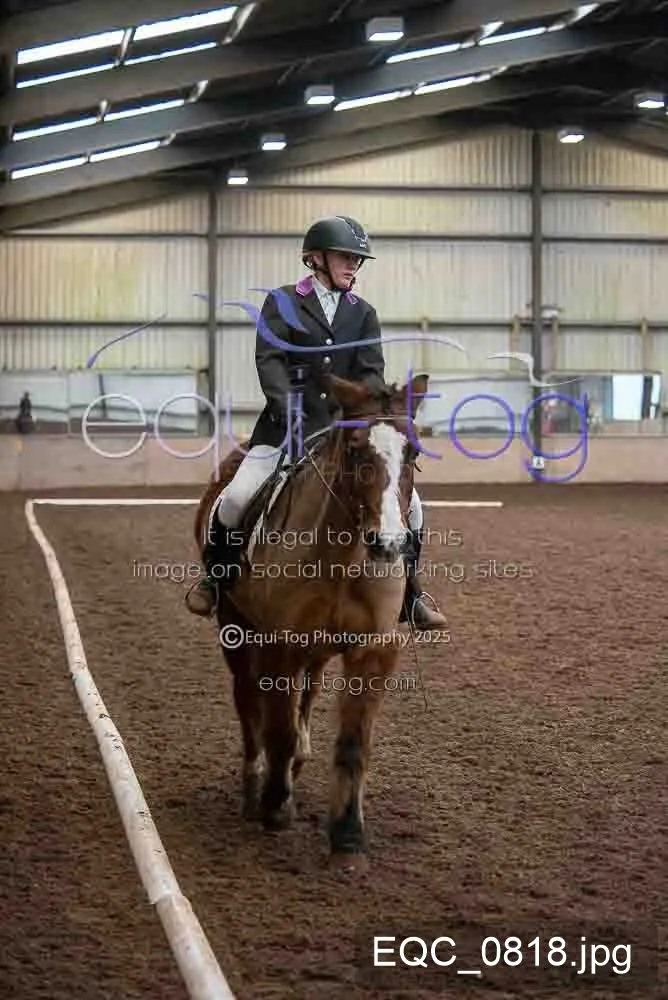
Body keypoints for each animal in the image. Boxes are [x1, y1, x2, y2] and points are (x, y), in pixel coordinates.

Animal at [193, 372, 428, 869]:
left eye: (413, 453)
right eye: (356, 450)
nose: (389, 543)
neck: (343, 555)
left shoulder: (372, 650)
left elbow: (352, 743)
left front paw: (347, 835)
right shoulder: (279, 643)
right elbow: (276, 727)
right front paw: (275, 806)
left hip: (313, 649)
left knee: (307, 692)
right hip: (236, 630)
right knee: (248, 703)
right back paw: (254, 785)